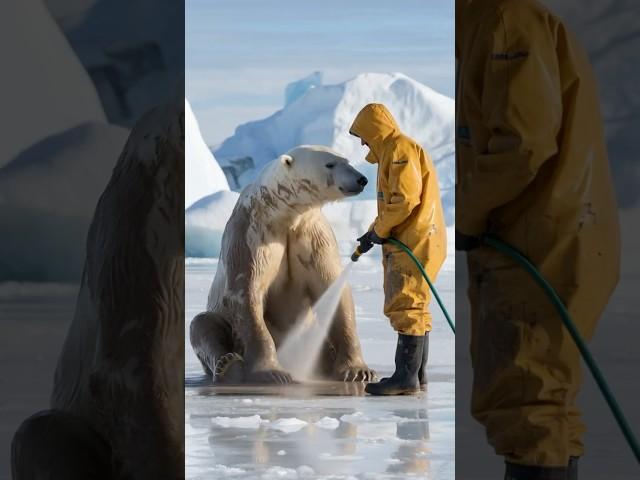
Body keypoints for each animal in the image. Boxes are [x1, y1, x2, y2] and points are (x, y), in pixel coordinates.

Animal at [190, 144, 378, 384]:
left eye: (347, 161)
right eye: (330, 163)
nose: (361, 179)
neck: (284, 214)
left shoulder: (314, 236)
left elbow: (333, 289)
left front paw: (358, 370)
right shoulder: (251, 233)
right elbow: (247, 292)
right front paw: (271, 372)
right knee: (203, 324)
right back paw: (228, 365)